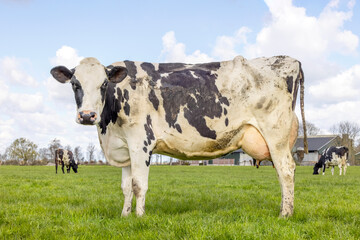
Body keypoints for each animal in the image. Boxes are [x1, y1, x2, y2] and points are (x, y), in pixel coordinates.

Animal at [50, 55, 308, 217]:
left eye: (104, 84)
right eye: (74, 84)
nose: (87, 115)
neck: (109, 129)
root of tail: (289, 60)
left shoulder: (140, 143)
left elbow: (138, 185)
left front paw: (139, 217)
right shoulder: (125, 147)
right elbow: (125, 187)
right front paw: (124, 215)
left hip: (276, 135)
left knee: (286, 171)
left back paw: (285, 214)